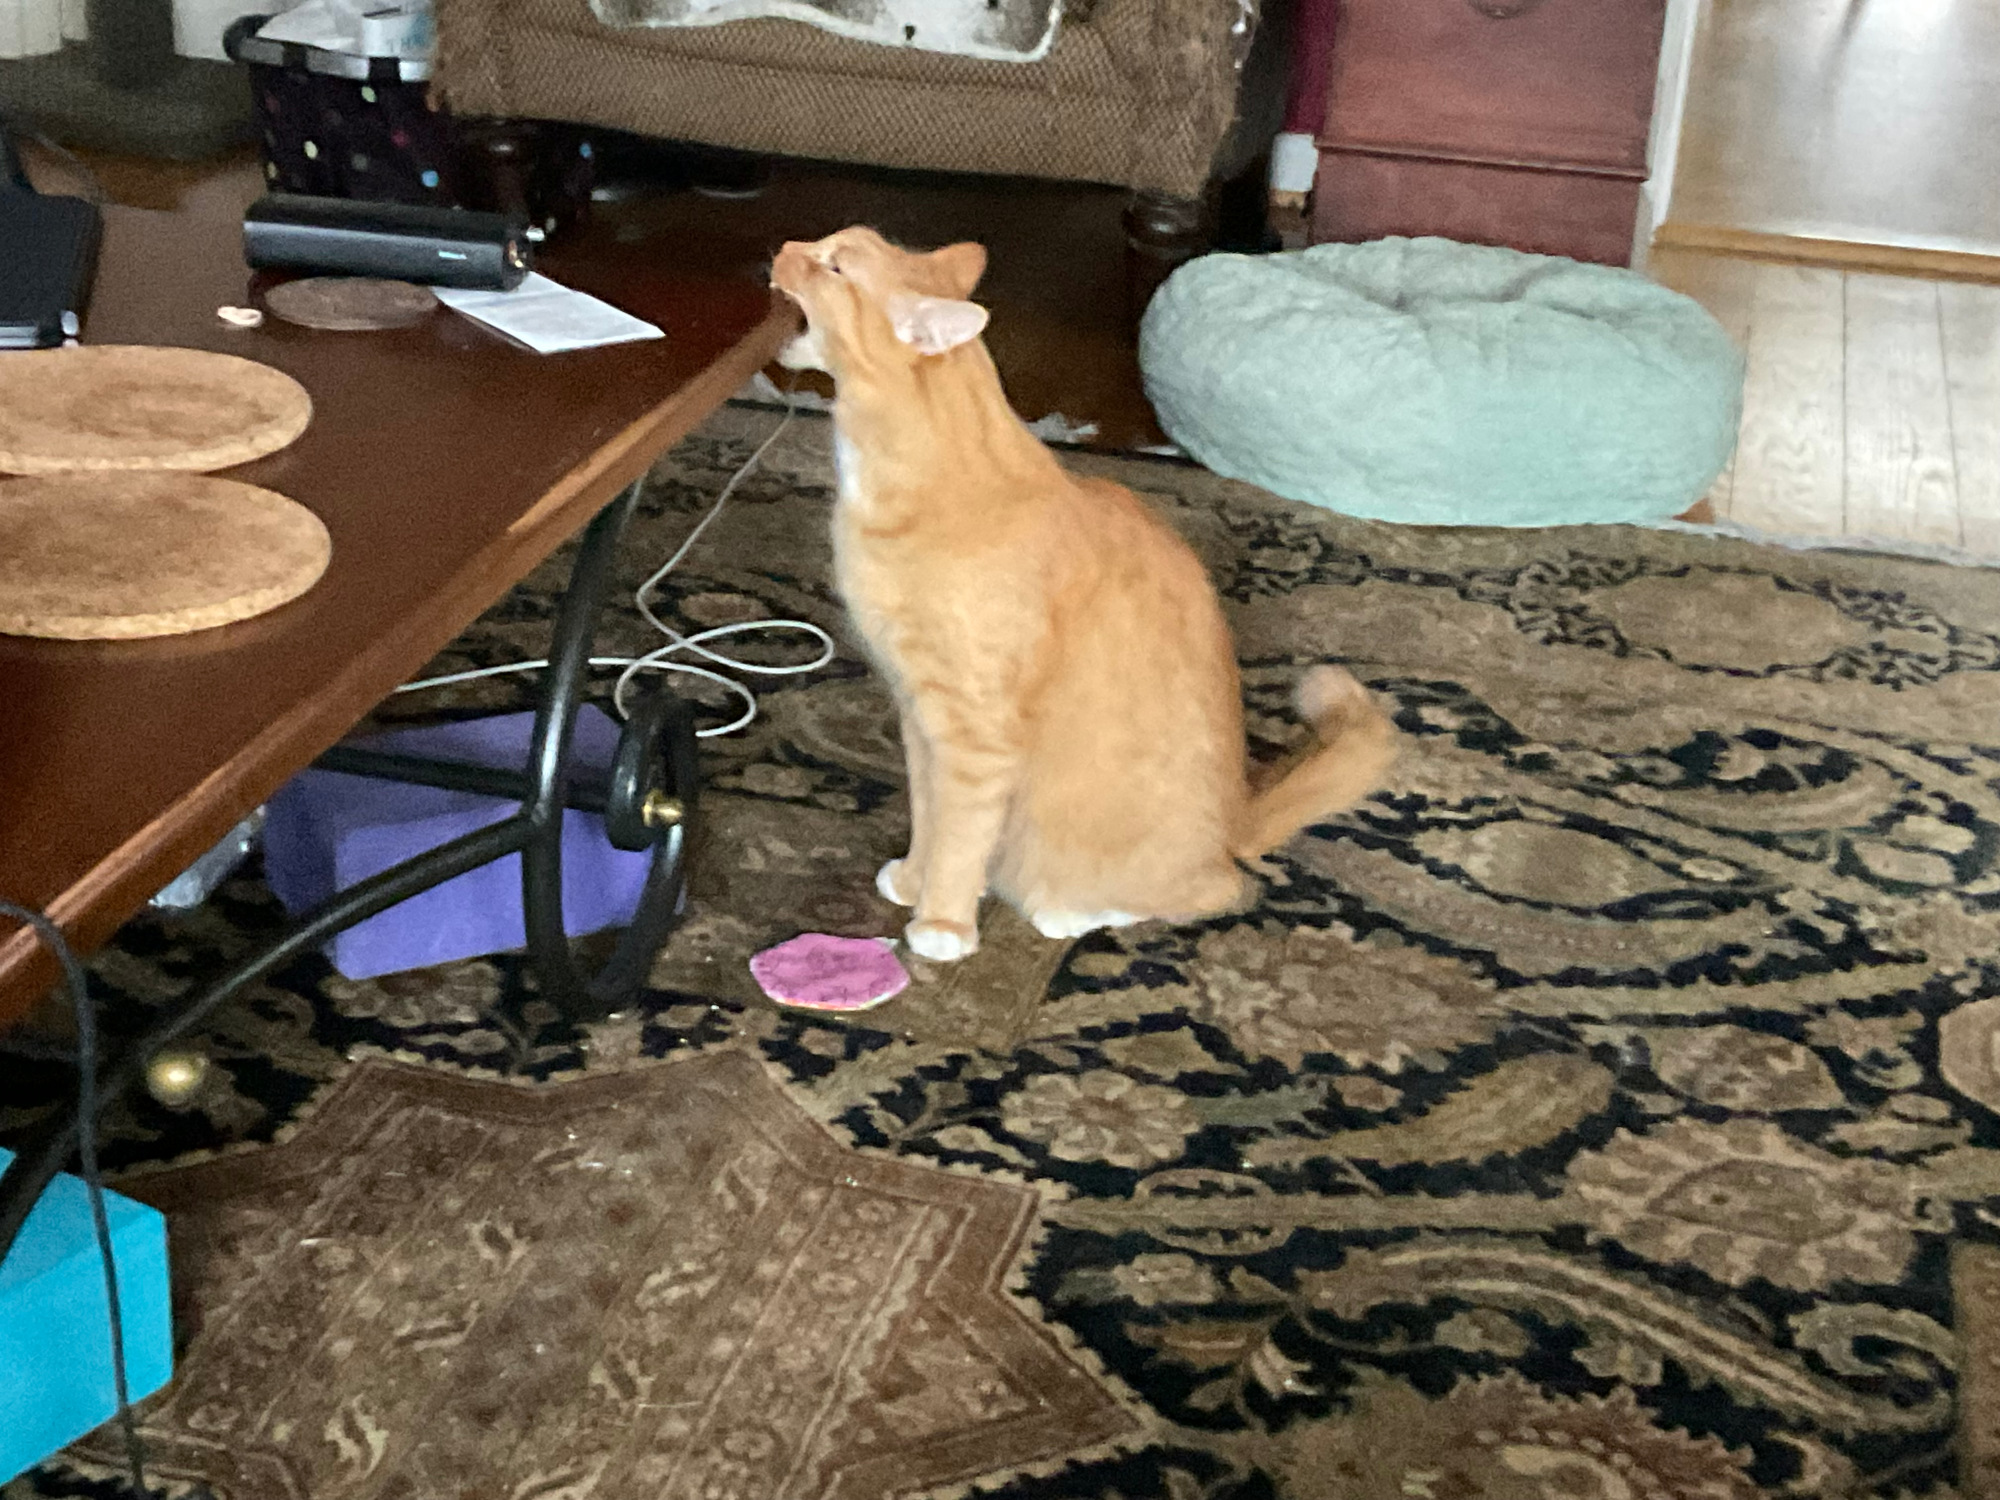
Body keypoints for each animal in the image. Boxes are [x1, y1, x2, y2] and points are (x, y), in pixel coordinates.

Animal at [770, 226, 1397, 963]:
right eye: (823, 245)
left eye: (834, 266)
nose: (786, 244)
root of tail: (1237, 818)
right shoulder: (919, 719)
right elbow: (931, 818)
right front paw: (915, 879)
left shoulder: (974, 738)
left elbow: (961, 836)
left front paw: (943, 924)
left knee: (1215, 890)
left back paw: (1069, 912)